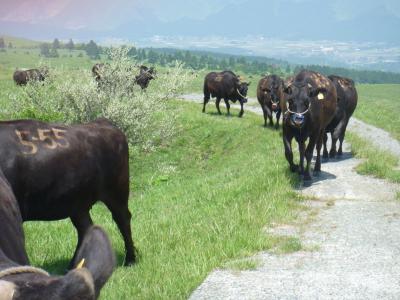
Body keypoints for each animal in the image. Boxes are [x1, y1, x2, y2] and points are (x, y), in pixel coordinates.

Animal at [0, 118, 136, 266]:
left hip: (116, 192)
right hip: (77, 204)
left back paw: (130, 259)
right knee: (86, 228)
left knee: (123, 219)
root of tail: (102, 122)